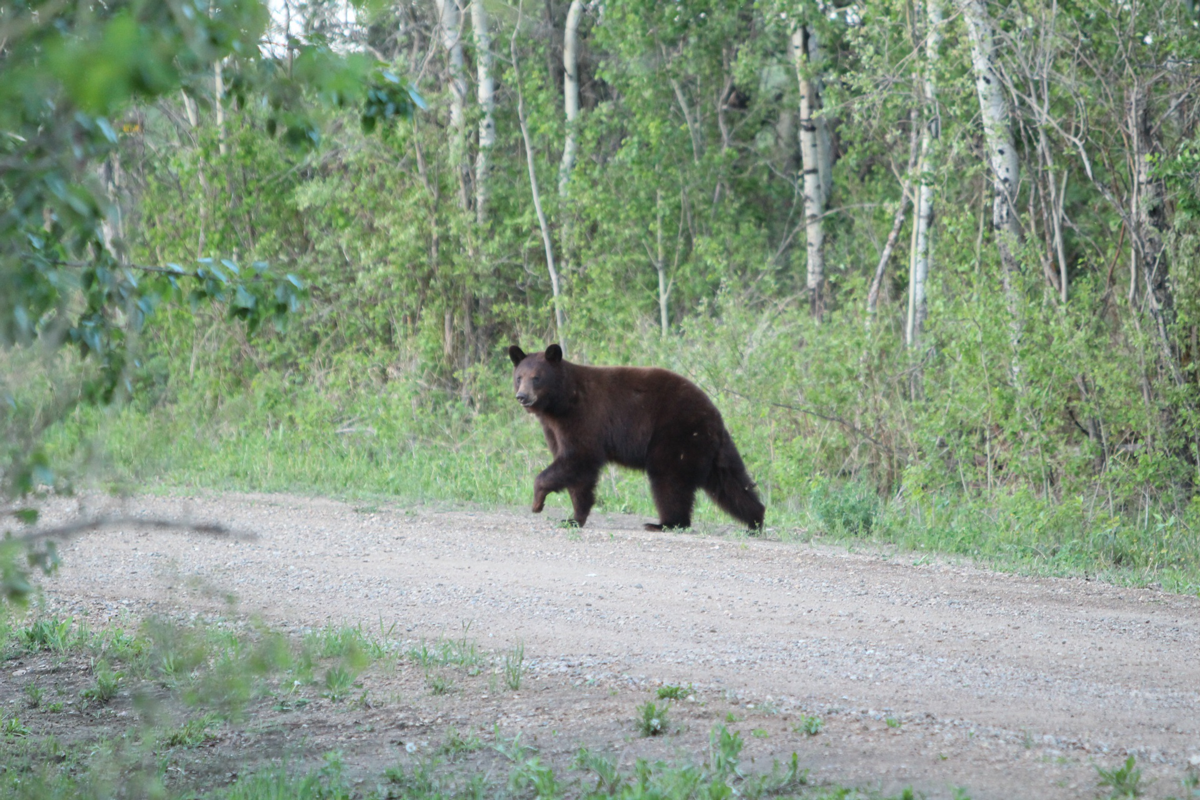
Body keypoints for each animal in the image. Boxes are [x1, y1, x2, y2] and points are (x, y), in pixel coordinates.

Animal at [508, 343, 765, 532]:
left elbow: (579, 457)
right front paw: (573, 518)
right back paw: (756, 520)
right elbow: (578, 473)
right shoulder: (555, 429)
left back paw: (665, 523)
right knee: (731, 482)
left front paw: (537, 501)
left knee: (669, 480)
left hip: (675, 434)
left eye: (536, 377)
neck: (561, 402)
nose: (522, 396)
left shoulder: (584, 418)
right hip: (709, 448)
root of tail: (713, 415)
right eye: (519, 377)